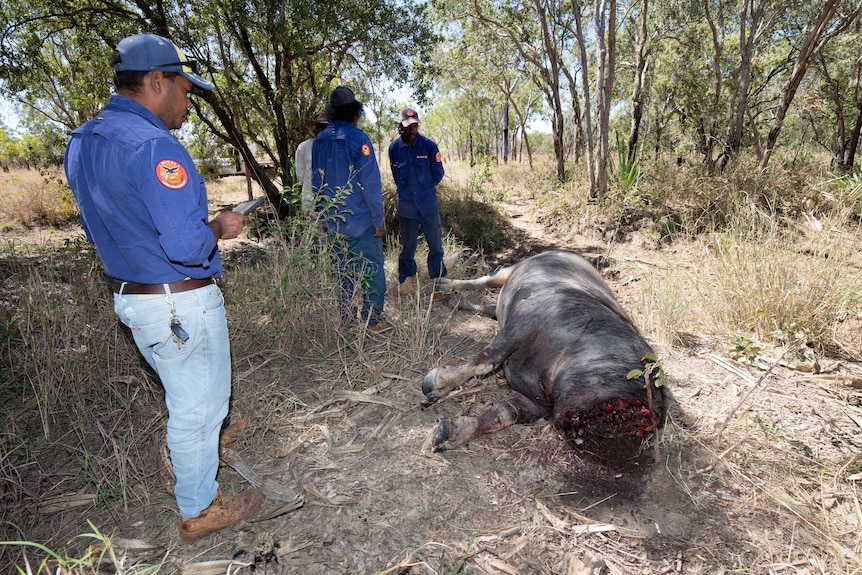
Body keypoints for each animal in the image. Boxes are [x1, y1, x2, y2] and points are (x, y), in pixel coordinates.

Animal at [424, 250, 668, 466]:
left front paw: (445, 436)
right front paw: (432, 385)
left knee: (489, 307)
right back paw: (442, 285)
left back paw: (454, 302)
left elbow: (503, 414)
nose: (649, 414)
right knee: (486, 280)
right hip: (511, 271)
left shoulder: (533, 404)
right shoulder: (529, 317)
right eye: (636, 377)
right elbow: (488, 357)